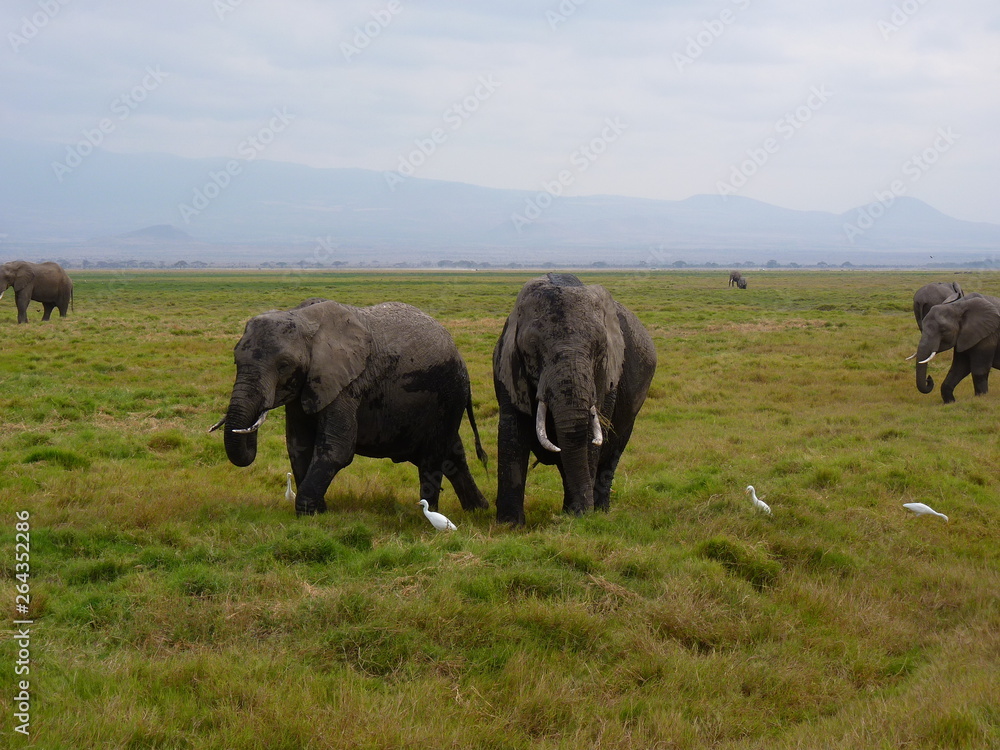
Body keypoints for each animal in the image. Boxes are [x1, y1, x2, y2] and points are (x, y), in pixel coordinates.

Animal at [214, 300, 488, 516]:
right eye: (235, 360)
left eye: (284, 365)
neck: (302, 319)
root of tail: (458, 352)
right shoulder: (305, 389)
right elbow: (298, 446)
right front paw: (319, 513)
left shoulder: (347, 384)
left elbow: (338, 448)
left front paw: (307, 513)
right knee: (452, 455)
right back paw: (477, 510)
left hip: (448, 393)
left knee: (433, 456)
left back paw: (427, 516)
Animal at [492, 274, 656, 524]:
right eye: (533, 349)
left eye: (599, 348)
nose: (582, 512)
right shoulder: (508, 365)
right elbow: (513, 434)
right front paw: (509, 525)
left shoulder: (607, 377)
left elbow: (589, 437)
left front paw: (577, 516)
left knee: (612, 454)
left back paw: (600, 510)